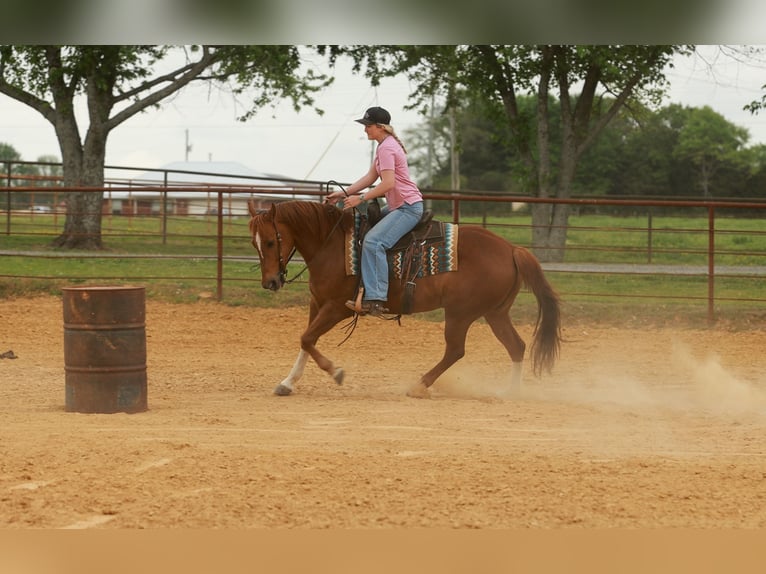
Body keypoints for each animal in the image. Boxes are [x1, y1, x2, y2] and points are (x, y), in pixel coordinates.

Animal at [247, 200, 561, 398]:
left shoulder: (337, 307)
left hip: (460, 313)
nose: (270, 282)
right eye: (255, 243)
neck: (332, 244)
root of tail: (512, 248)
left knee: (456, 350)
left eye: (272, 241)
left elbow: (307, 338)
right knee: (516, 346)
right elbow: (305, 341)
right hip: (495, 313)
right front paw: (287, 383)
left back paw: (419, 385)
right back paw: (510, 391)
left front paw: (336, 372)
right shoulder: (317, 303)